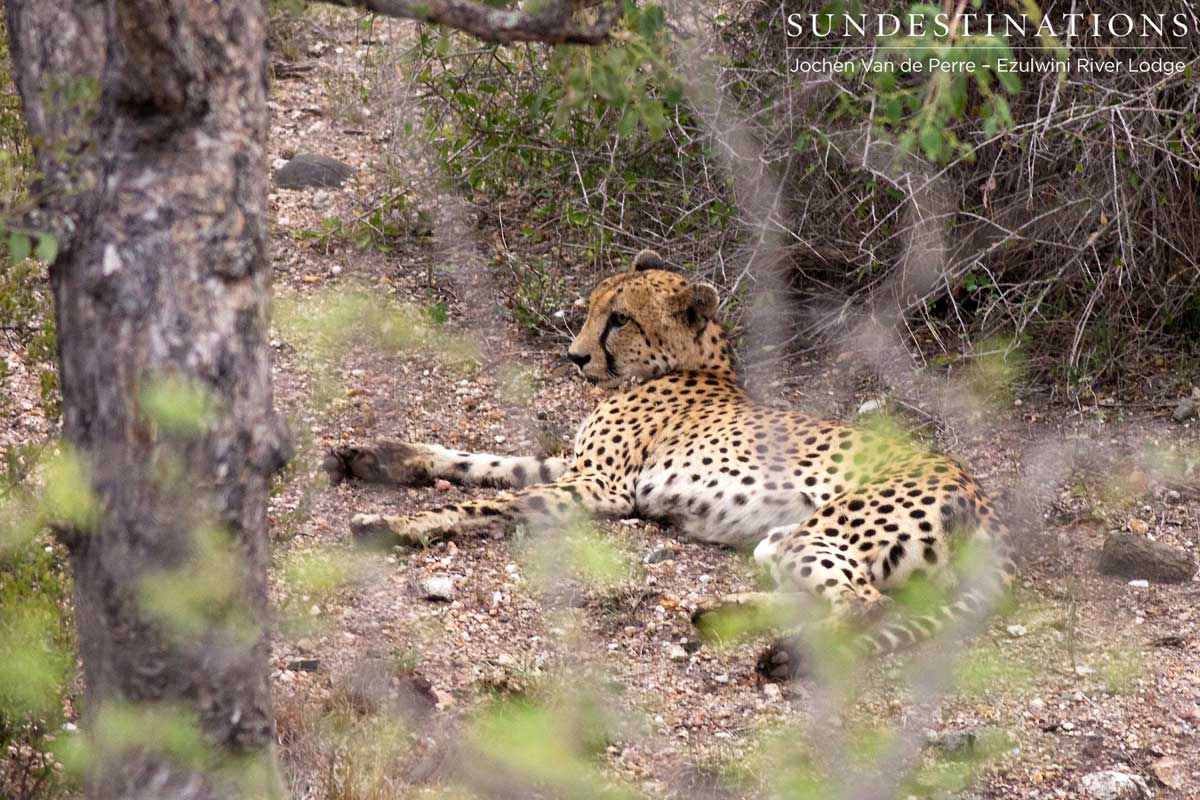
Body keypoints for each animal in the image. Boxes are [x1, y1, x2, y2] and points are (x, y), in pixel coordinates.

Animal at [324, 249, 1015, 679]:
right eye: (591, 308)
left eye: (620, 319)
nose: (574, 357)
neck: (689, 367)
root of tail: (983, 497)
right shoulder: (575, 468)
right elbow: (477, 461)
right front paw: (378, 456)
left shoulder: (603, 486)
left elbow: (489, 499)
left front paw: (399, 525)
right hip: (783, 536)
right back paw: (719, 615)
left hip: (829, 529)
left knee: (864, 605)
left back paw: (784, 654)